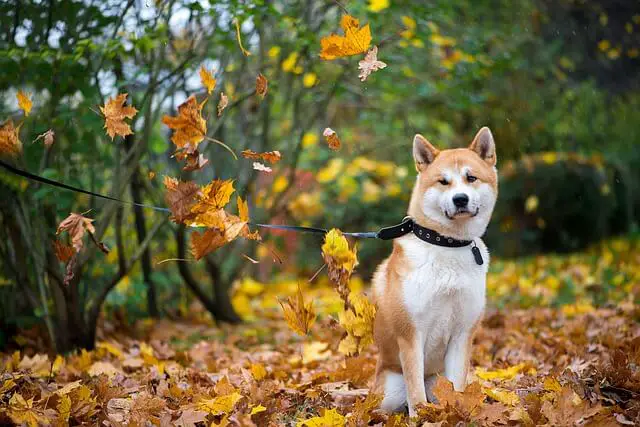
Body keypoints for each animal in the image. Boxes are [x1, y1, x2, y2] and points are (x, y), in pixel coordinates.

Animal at [372, 128, 498, 418]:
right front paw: (421, 416)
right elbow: (415, 390)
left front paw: (459, 411)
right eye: (443, 182)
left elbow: (457, 387)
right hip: (390, 391)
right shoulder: (410, 335)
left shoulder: (463, 334)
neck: (446, 244)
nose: (460, 198)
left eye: (471, 178)